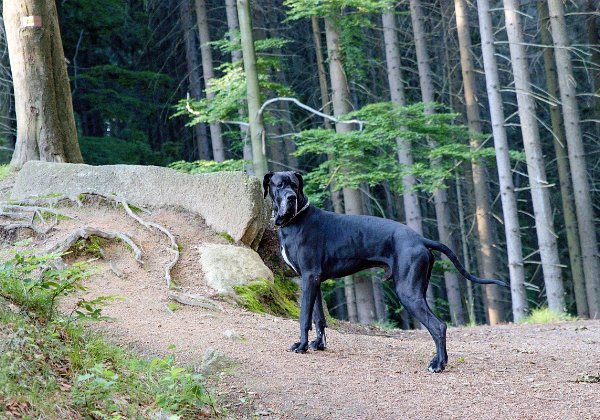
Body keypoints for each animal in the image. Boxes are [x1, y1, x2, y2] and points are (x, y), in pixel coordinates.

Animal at [262, 169, 506, 372]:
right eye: (279, 185)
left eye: (294, 186)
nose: (291, 198)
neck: (296, 219)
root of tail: (420, 239)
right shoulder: (315, 280)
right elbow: (318, 317)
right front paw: (318, 344)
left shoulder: (309, 277)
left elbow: (304, 317)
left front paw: (302, 345)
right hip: (417, 290)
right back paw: (440, 361)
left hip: (408, 292)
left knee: (438, 326)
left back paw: (438, 364)